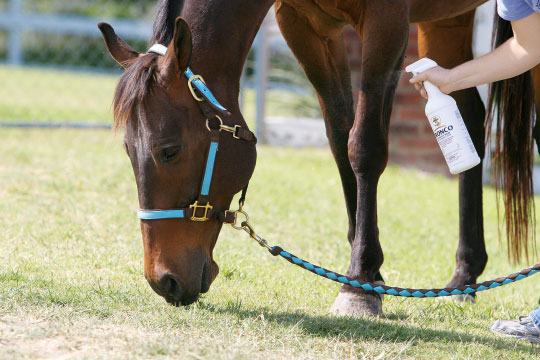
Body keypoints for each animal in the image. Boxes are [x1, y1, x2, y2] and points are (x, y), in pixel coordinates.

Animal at [100, 0, 540, 316]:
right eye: (128, 151)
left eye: (169, 150)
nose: (164, 280)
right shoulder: (304, 25)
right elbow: (340, 136)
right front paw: (369, 275)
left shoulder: (386, 23)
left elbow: (364, 146)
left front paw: (358, 284)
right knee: (469, 113)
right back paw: (465, 274)